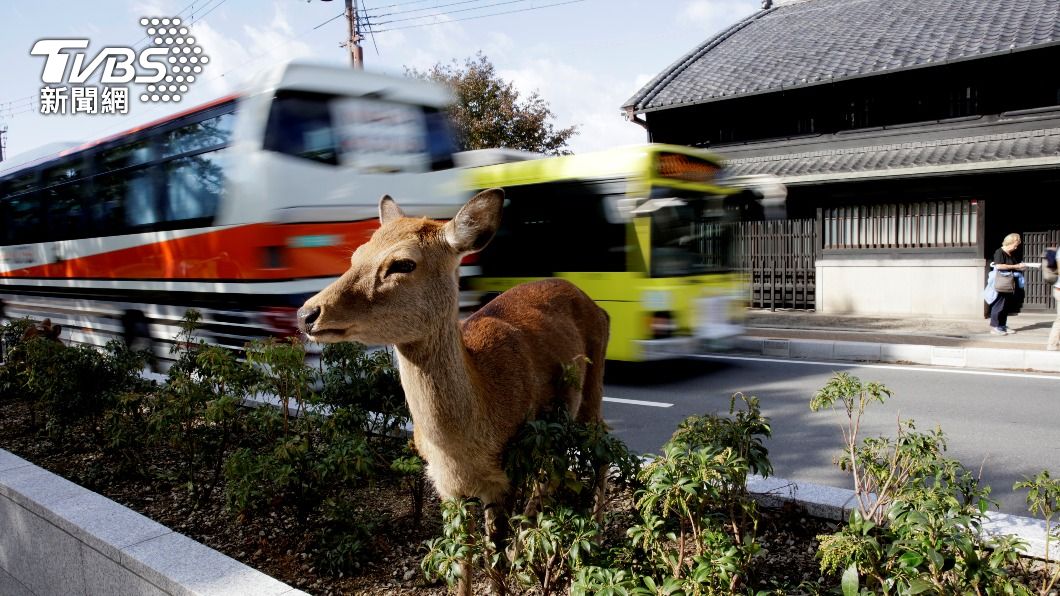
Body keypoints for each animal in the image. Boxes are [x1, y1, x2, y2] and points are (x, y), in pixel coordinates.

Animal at [297, 188, 610, 594]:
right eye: (355, 255)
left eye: (403, 263)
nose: (307, 313)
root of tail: (598, 305)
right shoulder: (445, 486)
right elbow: (462, 562)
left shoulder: (503, 478)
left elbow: (494, 564)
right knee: (552, 472)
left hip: (594, 383)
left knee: (603, 447)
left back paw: (595, 534)